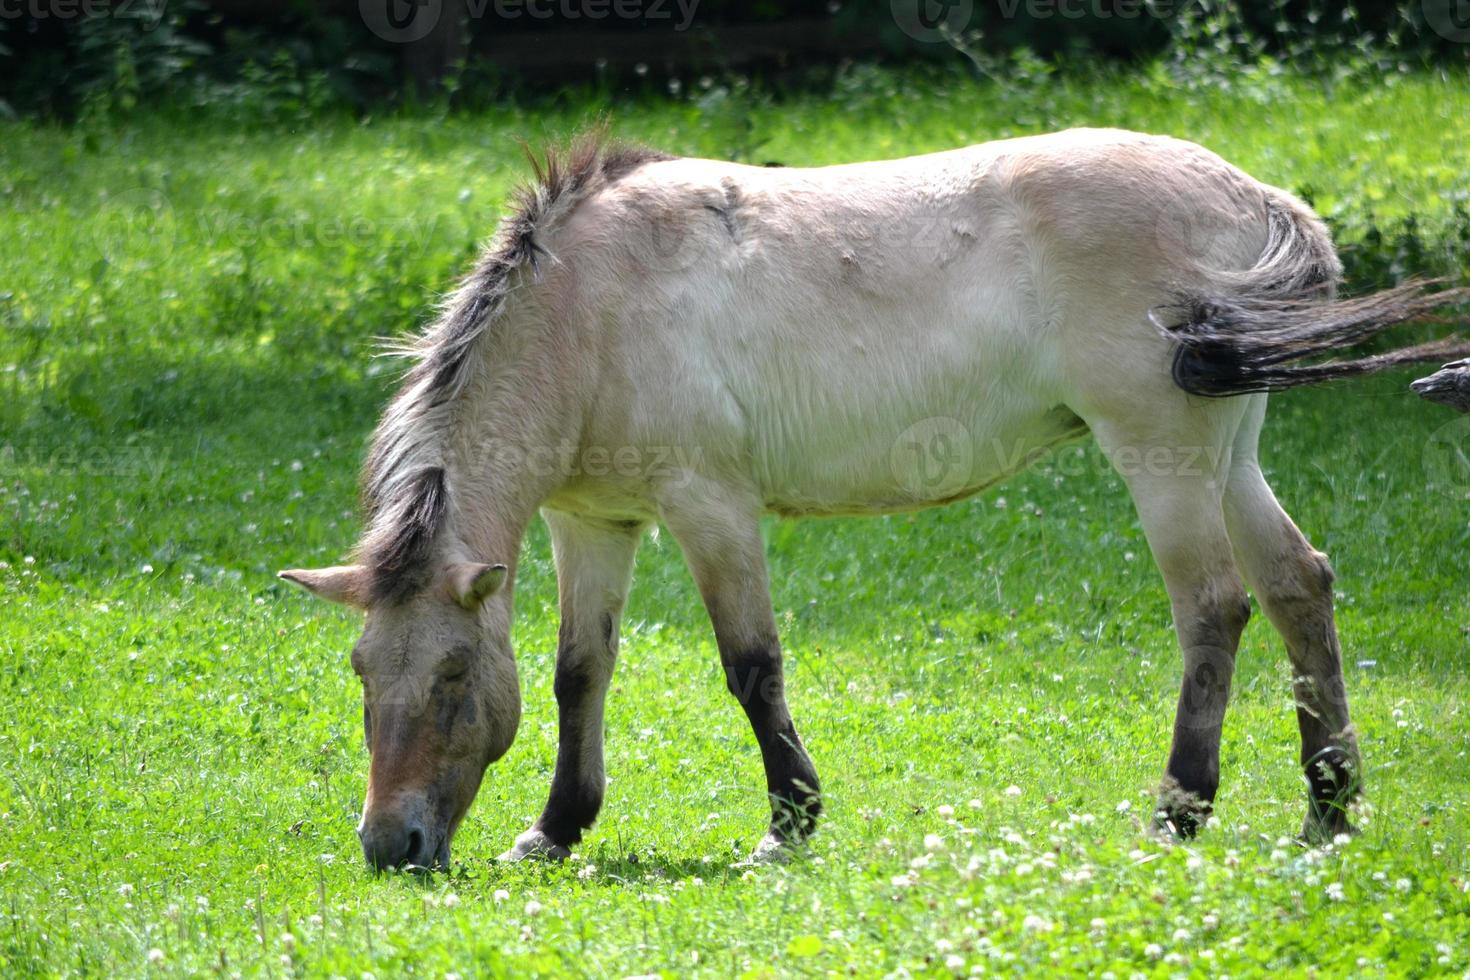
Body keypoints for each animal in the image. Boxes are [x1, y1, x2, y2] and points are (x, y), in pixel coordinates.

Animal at [277, 126, 1470, 869]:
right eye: (362, 671)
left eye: (449, 677)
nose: (389, 847)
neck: (588, 304)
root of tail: (1256, 199)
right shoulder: (594, 521)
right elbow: (581, 675)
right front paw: (557, 828)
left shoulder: (709, 506)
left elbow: (750, 665)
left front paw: (788, 824)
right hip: (1230, 455)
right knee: (1298, 584)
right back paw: (1328, 807)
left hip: (1163, 459)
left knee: (1215, 608)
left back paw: (1180, 810)